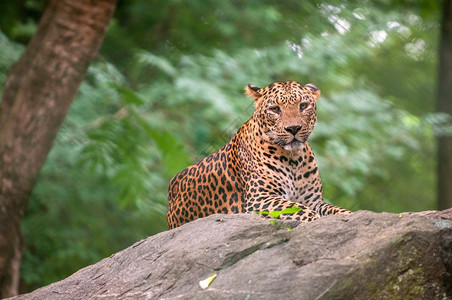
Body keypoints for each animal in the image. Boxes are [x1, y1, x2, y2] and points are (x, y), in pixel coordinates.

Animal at [168, 81, 352, 229]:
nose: (293, 128)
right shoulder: (260, 198)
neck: (293, 159)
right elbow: (300, 210)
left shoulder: (313, 201)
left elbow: (335, 209)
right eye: (275, 109)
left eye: (303, 106)